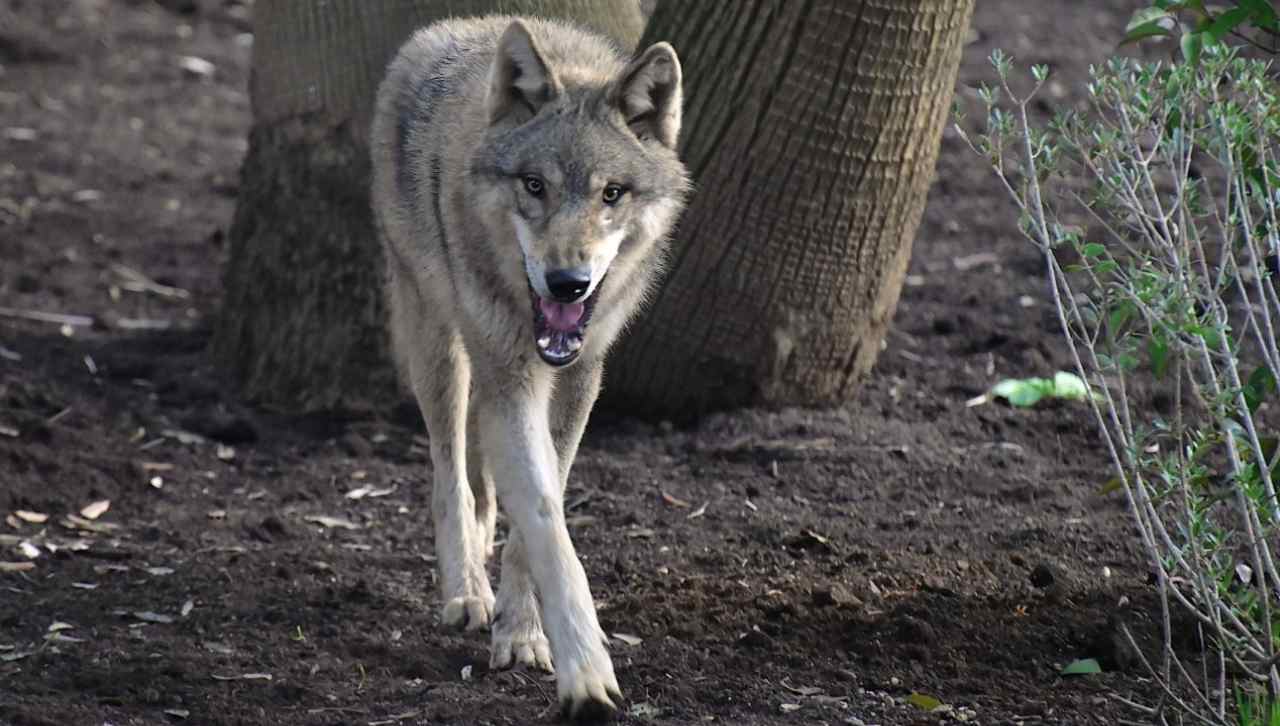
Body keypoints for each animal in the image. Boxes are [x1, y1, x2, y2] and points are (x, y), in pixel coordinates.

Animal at [370, 15, 688, 720]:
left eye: (612, 193)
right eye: (534, 185)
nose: (568, 283)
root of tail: (455, 28)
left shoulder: (578, 381)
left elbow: (544, 507)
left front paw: (520, 632)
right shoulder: (510, 382)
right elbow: (545, 520)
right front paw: (586, 675)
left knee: (484, 485)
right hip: (439, 347)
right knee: (450, 475)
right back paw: (466, 592)